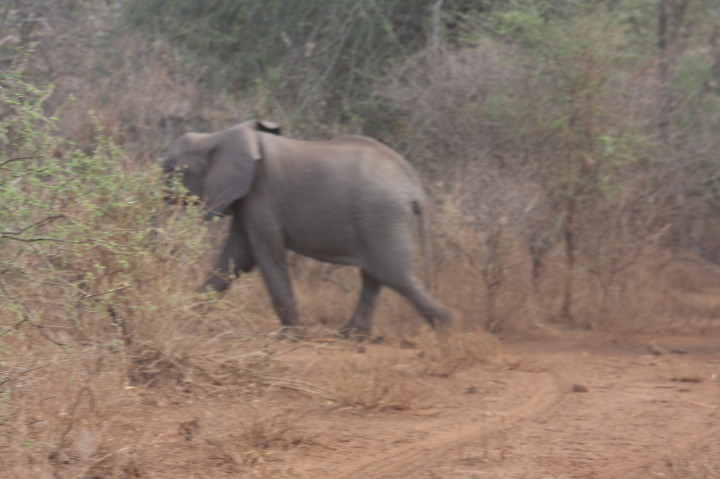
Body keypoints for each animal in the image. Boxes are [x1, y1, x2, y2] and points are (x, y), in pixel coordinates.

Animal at [163, 120, 451, 337]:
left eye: (170, 170)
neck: (215, 138)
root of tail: (414, 186)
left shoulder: (261, 196)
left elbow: (266, 255)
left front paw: (291, 336)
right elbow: (236, 257)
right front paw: (185, 318)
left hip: (380, 214)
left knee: (393, 274)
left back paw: (447, 330)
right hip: (378, 218)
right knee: (377, 274)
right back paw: (350, 335)